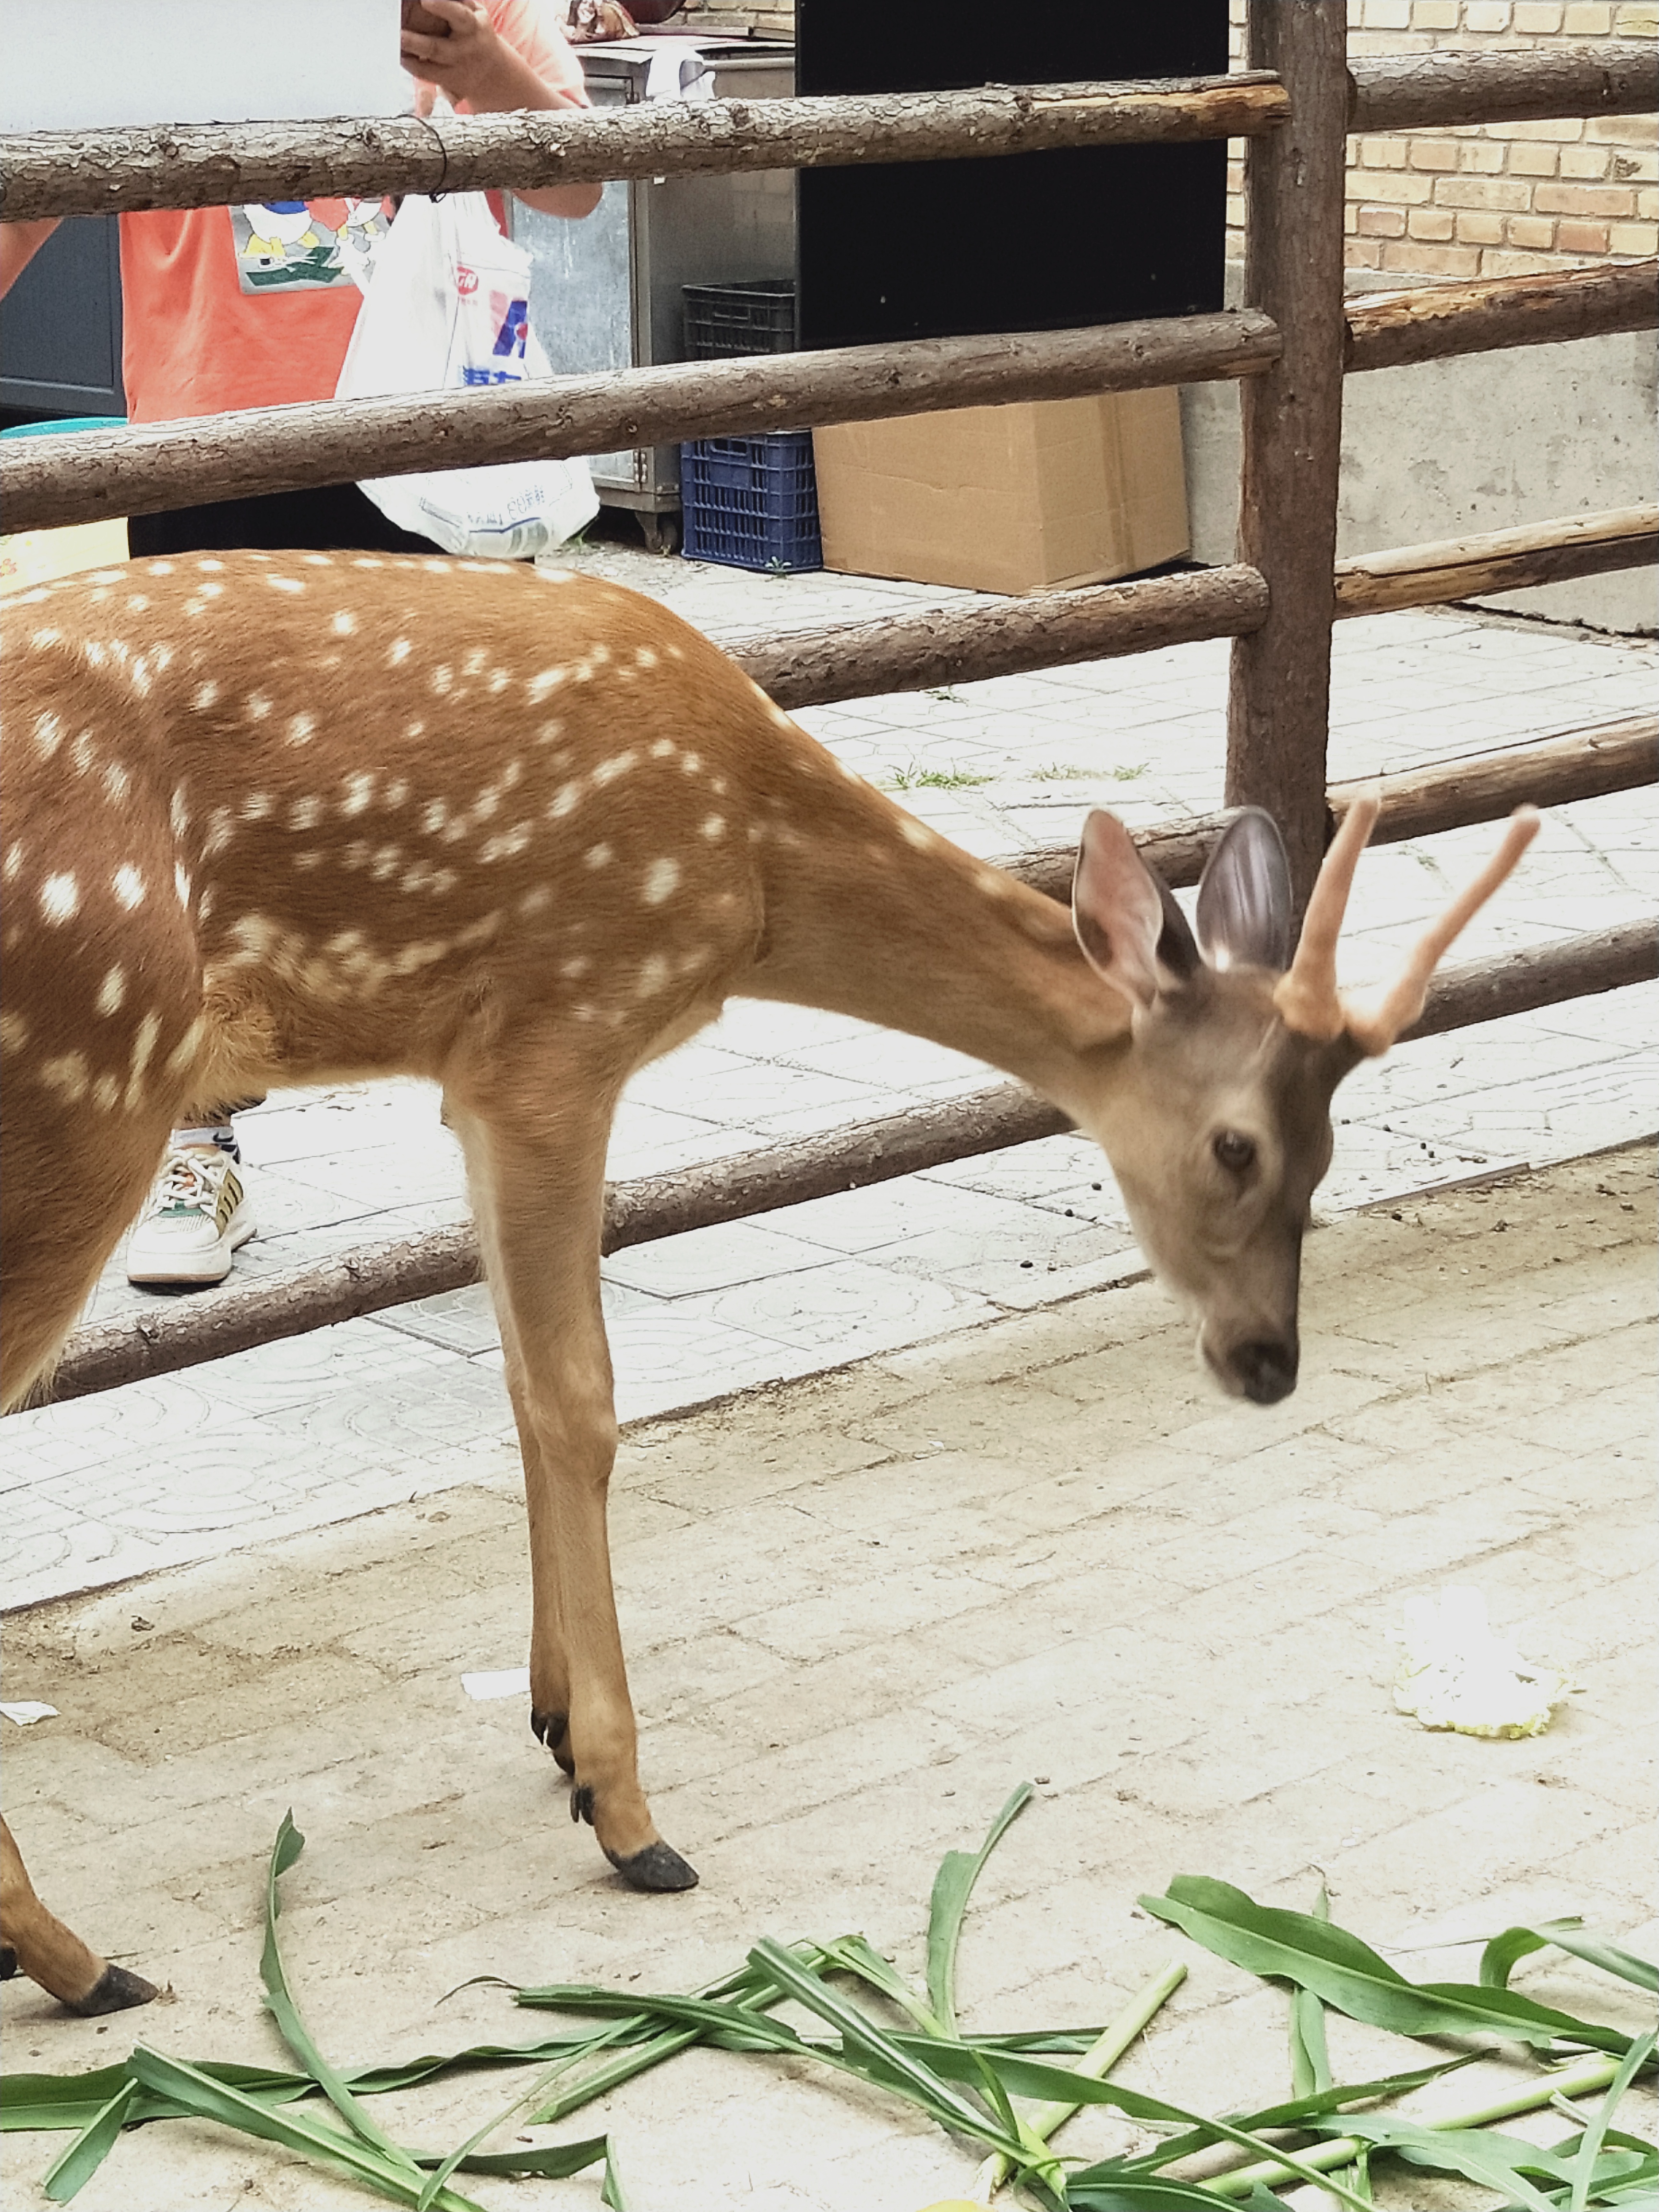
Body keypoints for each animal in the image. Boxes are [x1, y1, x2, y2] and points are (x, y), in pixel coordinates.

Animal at [0, 548, 1539, 2008]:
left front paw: (552, 1722)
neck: (750, 868)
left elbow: (518, 1392)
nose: (1268, 1362)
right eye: (1238, 1146)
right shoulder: (556, 1034)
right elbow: (580, 1403)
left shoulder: (472, 1078)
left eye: (1332, 1145)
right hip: (92, 1082)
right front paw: (626, 1812)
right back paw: (77, 1960)